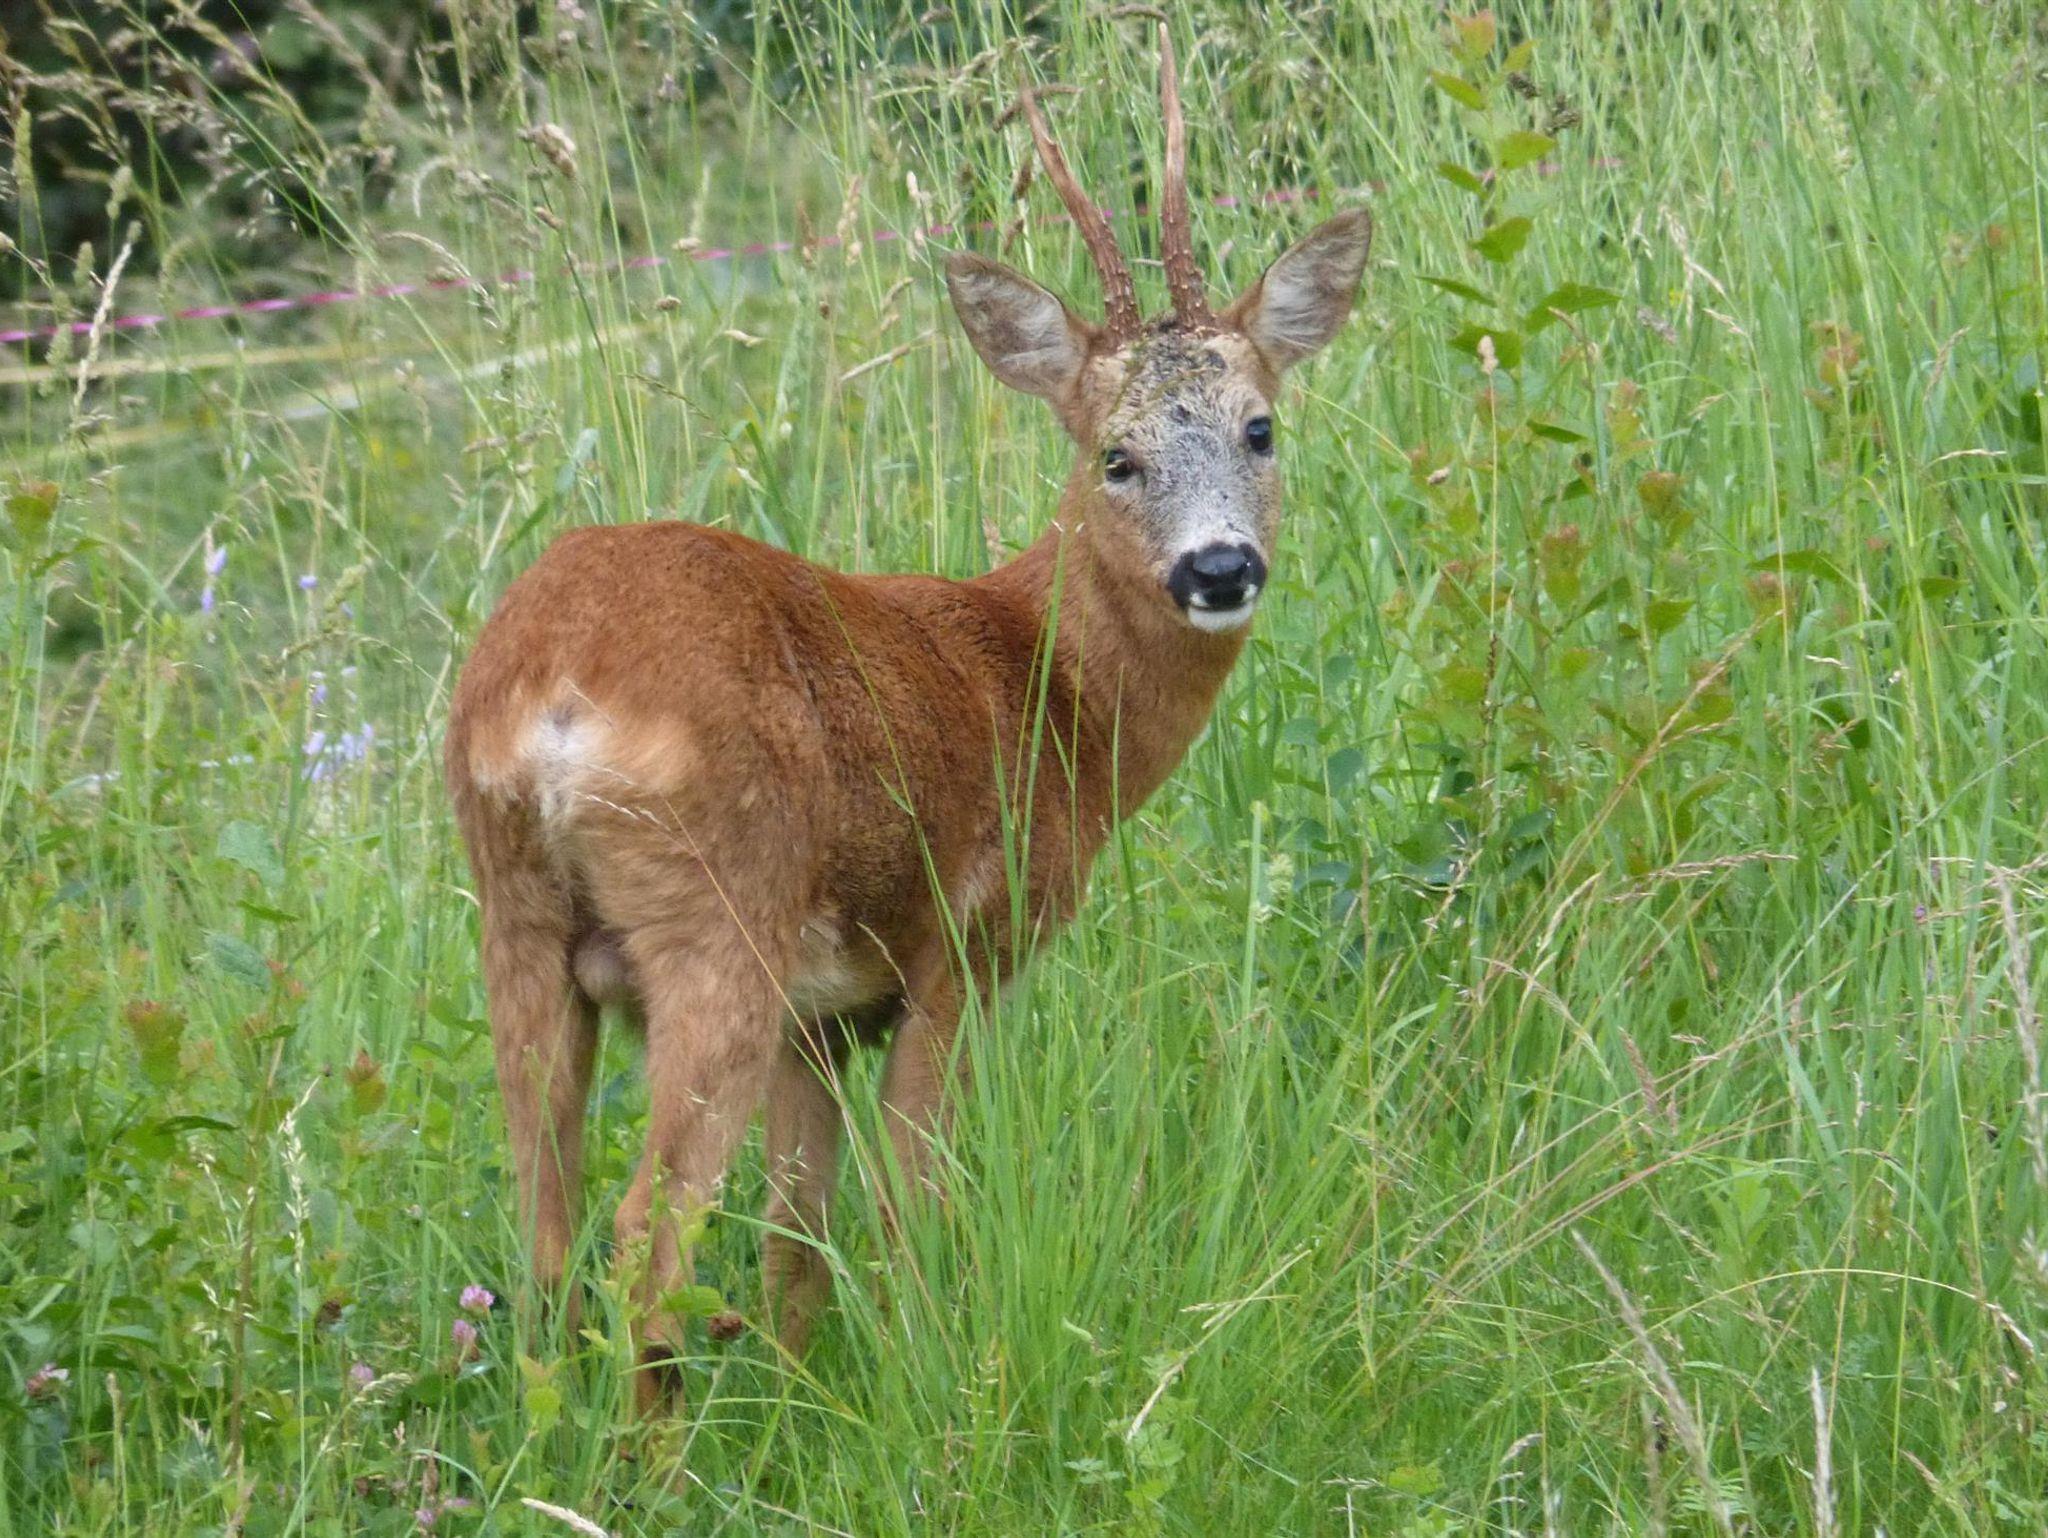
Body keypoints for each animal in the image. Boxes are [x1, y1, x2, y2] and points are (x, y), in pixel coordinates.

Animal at [444, 24, 1371, 1414]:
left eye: (1259, 426)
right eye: (1114, 455)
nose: (1218, 567)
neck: (1046, 690)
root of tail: (551, 688)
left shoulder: (818, 1019)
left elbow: (796, 1235)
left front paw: (805, 1400)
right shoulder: (961, 947)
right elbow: (906, 1206)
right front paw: (927, 1381)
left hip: (517, 918)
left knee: (545, 1235)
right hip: (717, 916)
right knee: (643, 1234)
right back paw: (654, 1452)